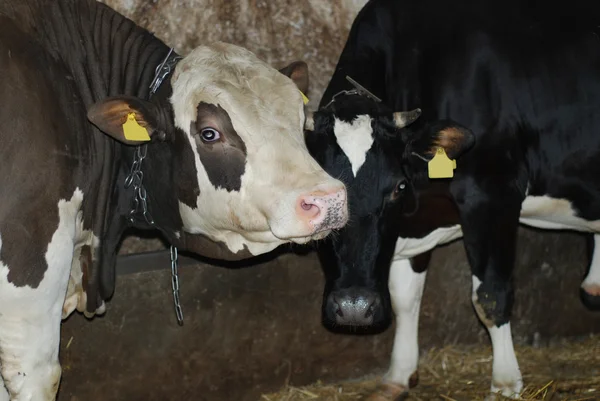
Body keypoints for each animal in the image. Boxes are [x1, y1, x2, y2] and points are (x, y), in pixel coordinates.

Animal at [308, 0, 600, 398]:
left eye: (397, 187)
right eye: (318, 193)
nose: (354, 307)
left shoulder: (492, 193)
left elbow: (490, 294)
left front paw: (505, 382)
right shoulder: (410, 223)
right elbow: (404, 297)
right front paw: (399, 375)